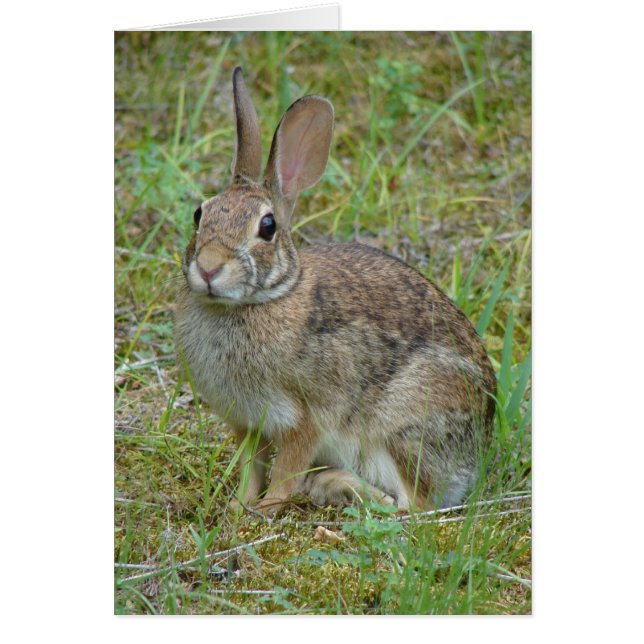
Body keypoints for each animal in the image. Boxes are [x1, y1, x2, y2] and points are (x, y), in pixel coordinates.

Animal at [174, 66, 497, 514]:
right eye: (198, 213)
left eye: (267, 227)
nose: (207, 267)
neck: (262, 299)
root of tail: (479, 450)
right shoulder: (247, 422)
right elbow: (251, 468)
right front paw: (239, 508)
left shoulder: (304, 418)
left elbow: (286, 471)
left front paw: (265, 509)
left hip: (404, 423)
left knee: (411, 505)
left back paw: (335, 484)